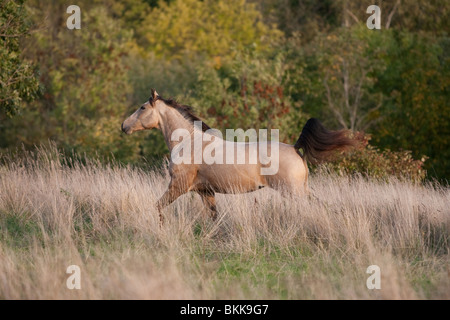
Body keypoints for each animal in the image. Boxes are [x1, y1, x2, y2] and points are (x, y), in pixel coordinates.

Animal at [122, 89, 356, 221]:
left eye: (142, 107)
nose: (124, 126)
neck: (190, 142)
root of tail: (294, 148)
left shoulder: (177, 187)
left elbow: (157, 207)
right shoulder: (205, 192)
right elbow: (214, 218)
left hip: (293, 191)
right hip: (302, 189)